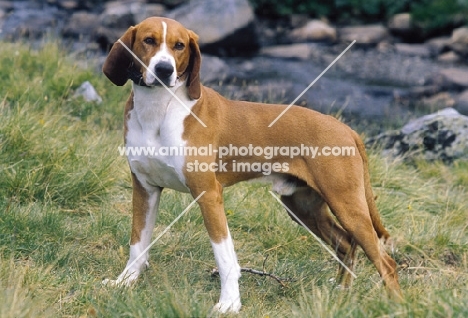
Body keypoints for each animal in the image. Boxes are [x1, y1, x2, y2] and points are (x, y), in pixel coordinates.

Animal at [100, 17, 400, 314]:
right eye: (148, 40)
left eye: (179, 46)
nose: (164, 69)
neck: (159, 110)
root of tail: (347, 129)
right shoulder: (145, 189)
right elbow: (138, 243)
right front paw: (125, 281)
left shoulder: (208, 195)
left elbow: (225, 258)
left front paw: (229, 303)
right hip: (303, 208)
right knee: (346, 244)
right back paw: (341, 293)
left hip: (347, 206)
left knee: (386, 263)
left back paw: (393, 304)